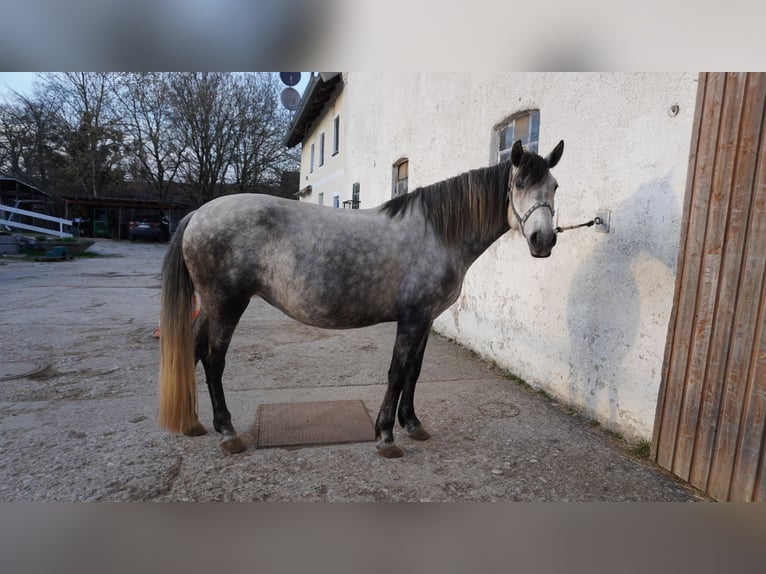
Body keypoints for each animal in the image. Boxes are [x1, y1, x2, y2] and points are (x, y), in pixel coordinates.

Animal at [159, 139, 564, 458]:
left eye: (555, 186)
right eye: (519, 184)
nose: (543, 240)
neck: (437, 233)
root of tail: (199, 214)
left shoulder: (426, 319)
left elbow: (414, 371)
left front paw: (412, 424)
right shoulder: (412, 319)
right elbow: (397, 372)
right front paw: (386, 436)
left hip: (211, 307)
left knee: (194, 349)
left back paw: (195, 423)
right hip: (227, 305)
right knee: (213, 361)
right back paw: (228, 433)